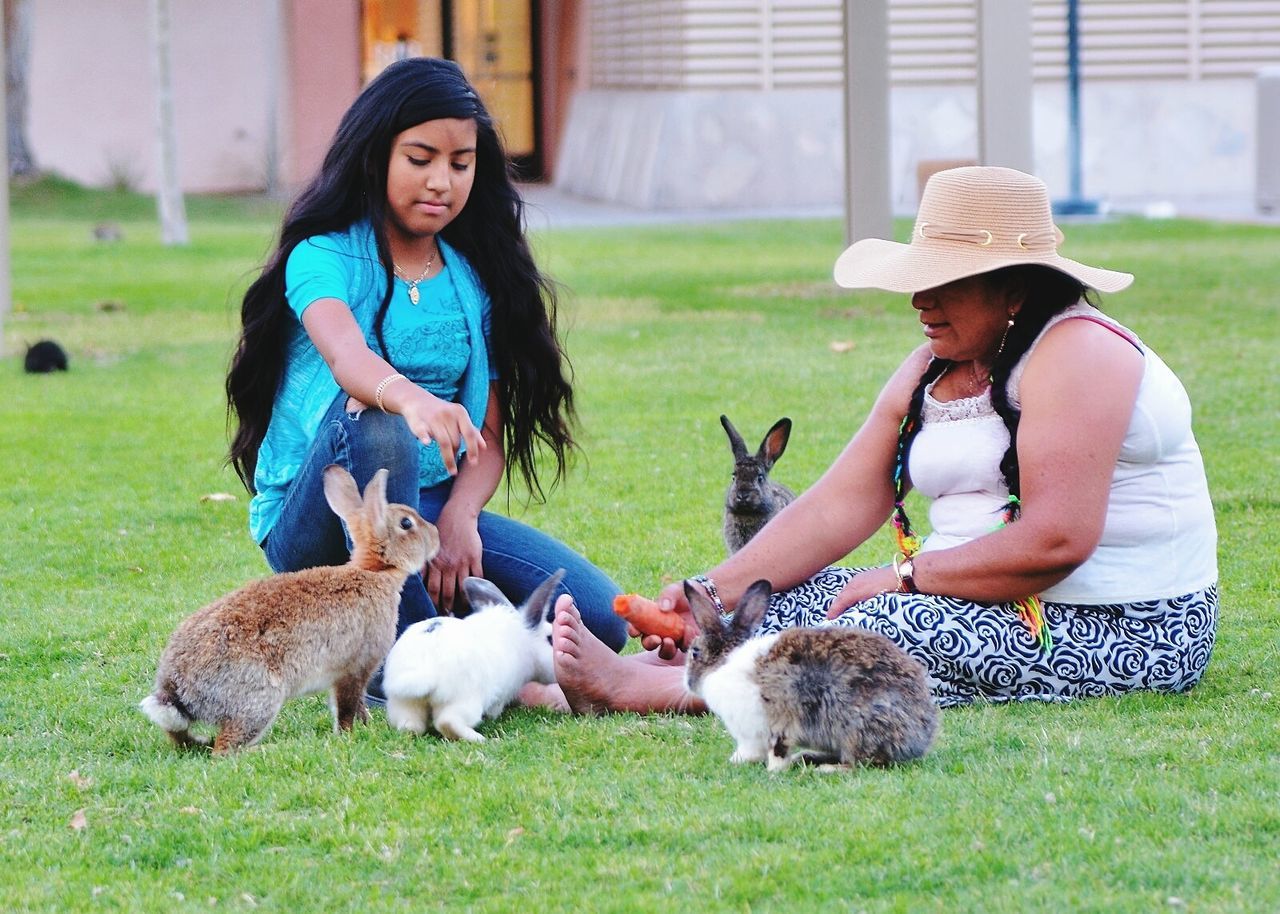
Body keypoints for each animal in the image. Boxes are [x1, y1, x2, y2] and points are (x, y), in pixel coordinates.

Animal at [140, 465, 437, 752]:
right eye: (406, 523)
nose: (435, 536)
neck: (376, 572)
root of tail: (176, 689)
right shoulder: (356, 665)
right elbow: (347, 706)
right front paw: (349, 733)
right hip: (259, 699)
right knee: (224, 748)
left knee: (178, 736)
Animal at [376, 565, 563, 737]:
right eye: (550, 639)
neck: (524, 638)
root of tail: (424, 670)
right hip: (466, 701)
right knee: (447, 722)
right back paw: (479, 738)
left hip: (404, 704)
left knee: (410, 726)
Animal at [686, 581, 936, 762]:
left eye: (695, 652)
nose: (688, 683)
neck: (725, 661)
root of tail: (923, 733)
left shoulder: (764, 725)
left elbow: (766, 749)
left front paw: (745, 763)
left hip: (857, 726)